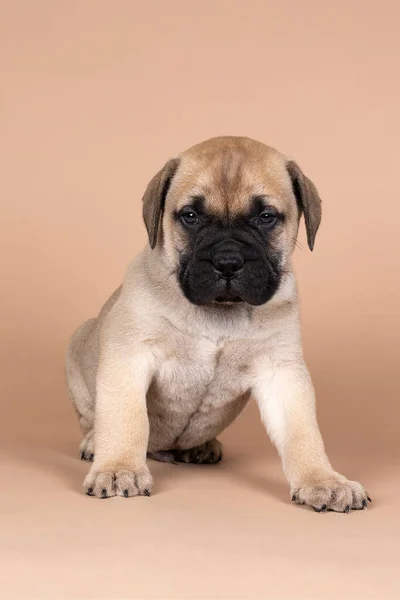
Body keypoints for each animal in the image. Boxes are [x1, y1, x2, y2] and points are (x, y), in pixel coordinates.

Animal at [65, 136, 368, 510]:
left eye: (266, 217)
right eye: (191, 216)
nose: (227, 262)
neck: (220, 313)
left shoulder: (281, 371)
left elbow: (303, 432)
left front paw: (322, 480)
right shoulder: (131, 354)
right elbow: (126, 418)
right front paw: (119, 468)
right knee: (94, 419)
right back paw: (96, 444)